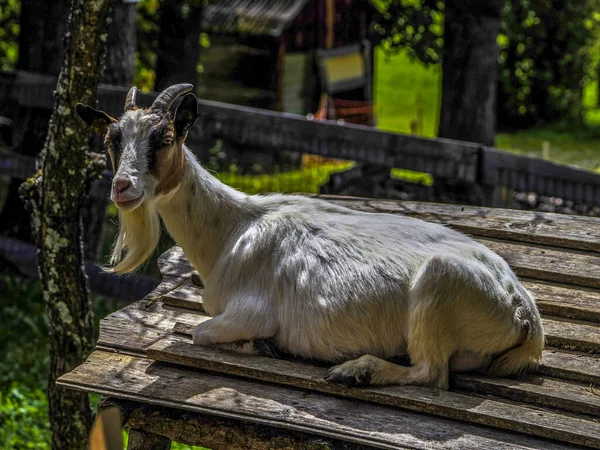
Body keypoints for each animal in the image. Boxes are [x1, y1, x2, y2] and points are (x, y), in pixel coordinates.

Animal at [75, 84, 544, 390]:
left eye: (166, 137)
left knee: (433, 374)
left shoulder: (251, 310)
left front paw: (258, 344)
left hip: (438, 288)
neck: (230, 230)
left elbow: (199, 332)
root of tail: (523, 310)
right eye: (111, 139)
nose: (123, 187)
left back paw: (356, 371)